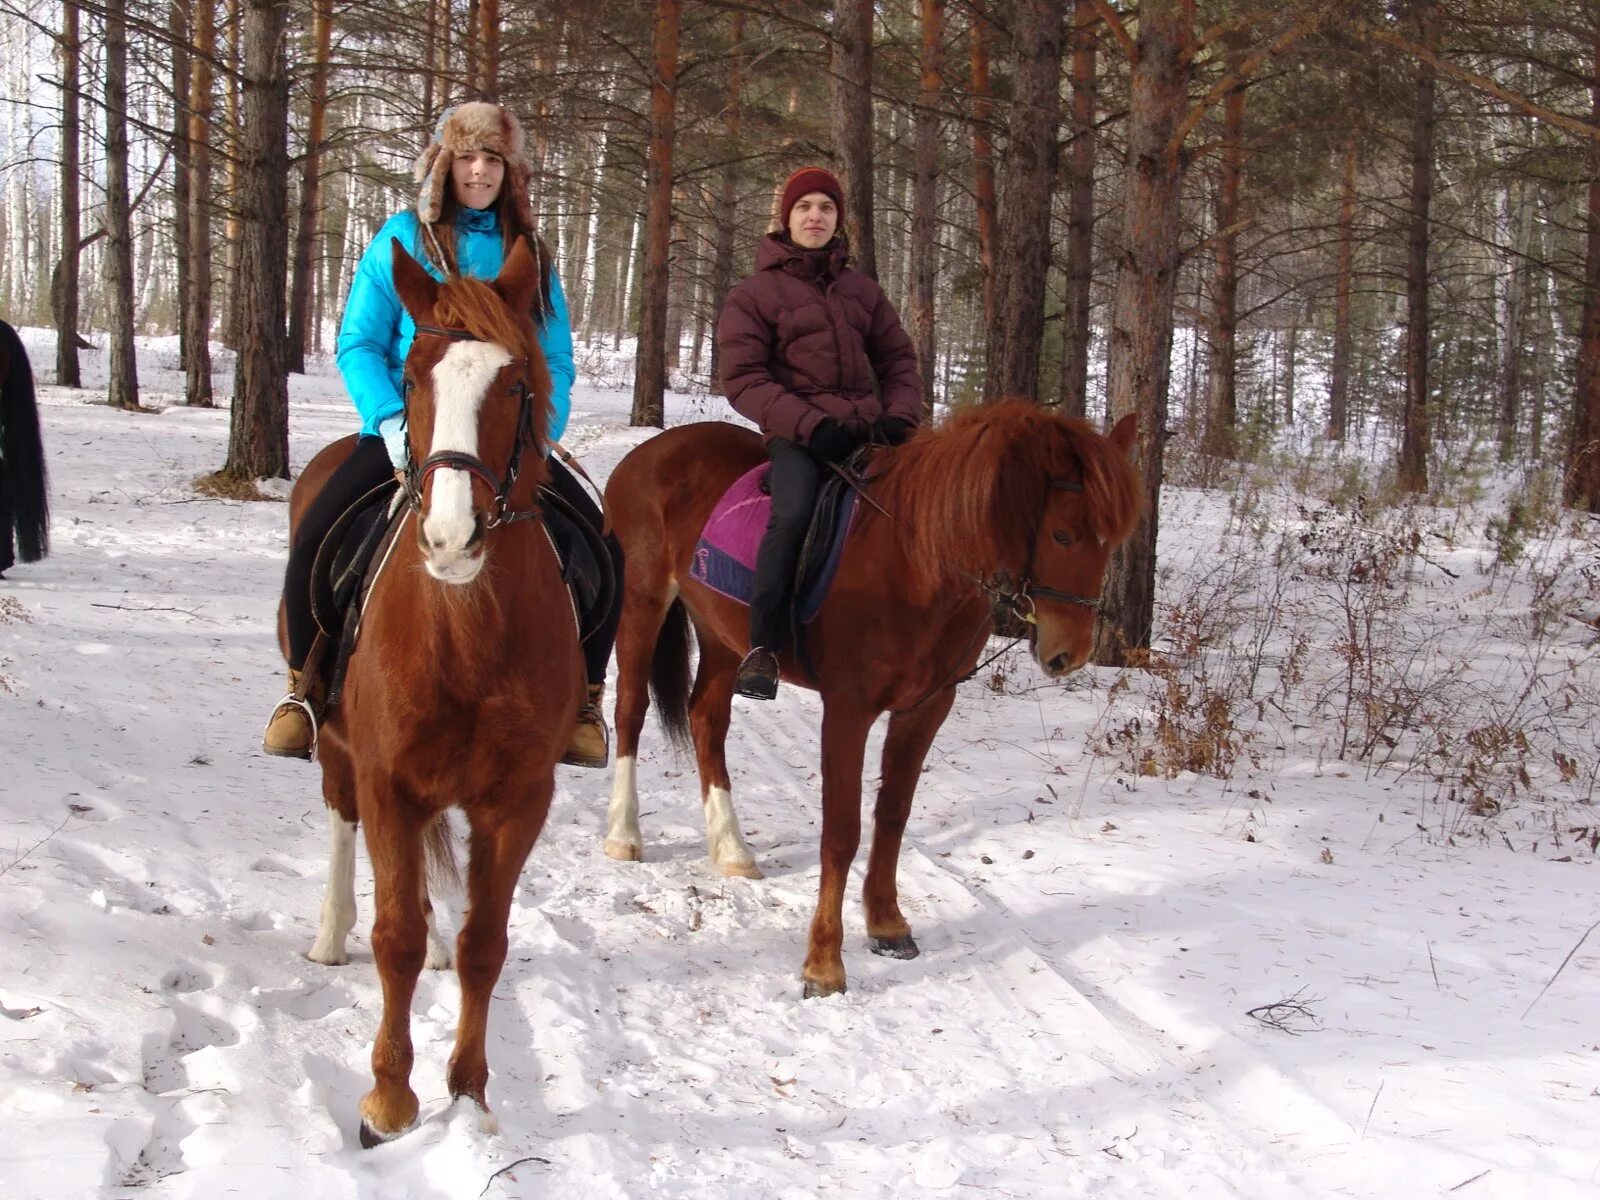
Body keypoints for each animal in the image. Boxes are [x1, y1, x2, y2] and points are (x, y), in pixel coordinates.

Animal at [280, 240, 582, 1152]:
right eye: (413, 377)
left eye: (515, 385)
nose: (451, 537)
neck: (465, 632)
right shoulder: (387, 780)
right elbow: (396, 939)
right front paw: (387, 1100)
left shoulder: (517, 798)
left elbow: (484, 941)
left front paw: (469, 1094)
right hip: (340, 753)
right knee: (343, 825)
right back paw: (329, 931)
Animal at [601, 409, 1139, 998]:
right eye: (1062, 534)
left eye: (1111, 542)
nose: (1071, 653)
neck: (916, 562)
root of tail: (646, 454)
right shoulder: (848, 710)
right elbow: (842, 833)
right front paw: (823, 964)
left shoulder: (925, 708)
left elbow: (893, 814)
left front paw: (886, 923)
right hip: (643, 600)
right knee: (629, 711)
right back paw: (624, 836)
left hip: (722, 634)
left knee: (706, 720)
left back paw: (731, 850)